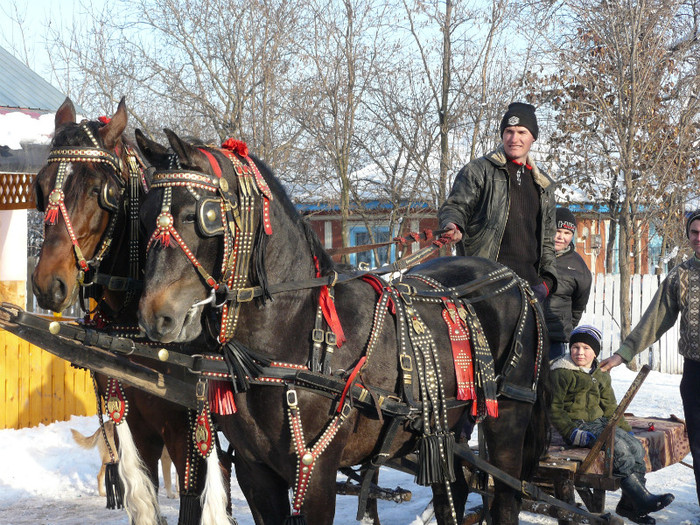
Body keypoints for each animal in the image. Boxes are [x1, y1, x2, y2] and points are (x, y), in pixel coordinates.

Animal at [31, 98, 231, 524]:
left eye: (98, 190)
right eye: (41, 185)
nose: (46, 285)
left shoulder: (185, 430)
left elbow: (192, 499)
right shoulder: (138, 426)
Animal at [137, 130, 548, 524]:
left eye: (198, 216)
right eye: (143, 214)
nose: (154, 315)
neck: (292, 329)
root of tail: (514, 280)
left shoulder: (315, 470)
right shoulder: (255, 472)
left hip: (507, 418)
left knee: (506, 498)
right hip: (448, 426)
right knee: (455, 492)